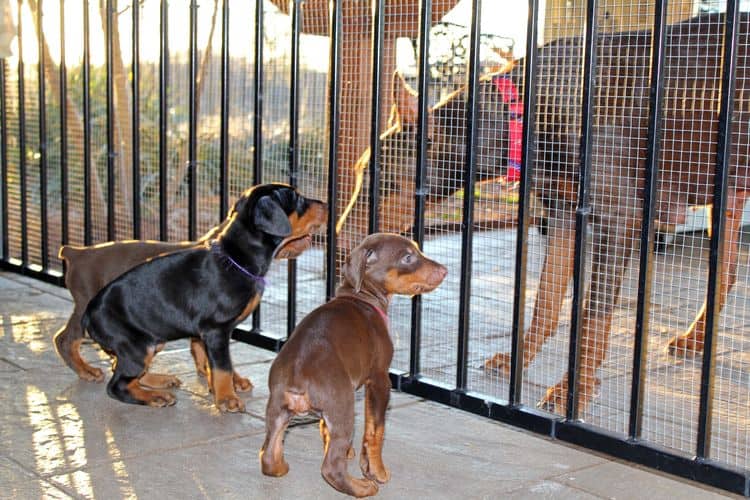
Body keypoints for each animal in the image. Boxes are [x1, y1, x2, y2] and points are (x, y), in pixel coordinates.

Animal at [83, 184, 328, 410]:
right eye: (297, 198)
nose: (326, 204)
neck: (236, 258)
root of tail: (88, 315)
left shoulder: (207, 331)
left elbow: (214, 360)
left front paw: (229, 384)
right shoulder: (216, 329)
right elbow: (222, 365)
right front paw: (227, 398)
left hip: (153, 341)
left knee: (124, 370)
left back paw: (160, 381)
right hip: (136, 346)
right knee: (118, 384)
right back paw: (155, 397)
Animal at [260, 233, 446, 496]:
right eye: (407, 257)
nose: (445, 271)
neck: (361, 296)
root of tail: (297, 377)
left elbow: (326, 430)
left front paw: (349, 452)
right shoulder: (379, 381)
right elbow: (375, 431)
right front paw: (377, 471)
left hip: (277, 410)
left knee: (268, 454)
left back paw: (280, 467)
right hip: (343, 407)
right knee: (331, 467)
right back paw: (362, 487)